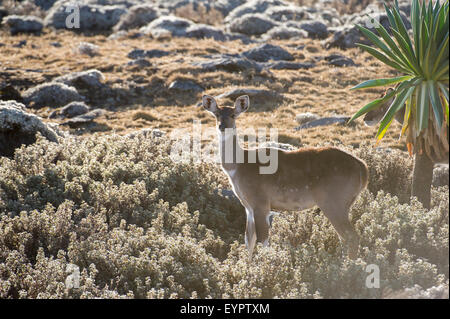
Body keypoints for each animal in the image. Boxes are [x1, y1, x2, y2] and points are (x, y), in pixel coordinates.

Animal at [201, 94, 370, 262]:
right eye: (217, 114)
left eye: (233, 115)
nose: (222, 126)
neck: (239, 167)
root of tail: (363, 169)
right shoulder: (247, 206)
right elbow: (249, 240)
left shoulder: (260, 201)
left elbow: (263, 241)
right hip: (345, 202)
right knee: (344, 237)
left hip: (334, 200)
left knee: (351, 236)